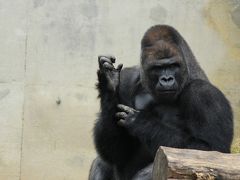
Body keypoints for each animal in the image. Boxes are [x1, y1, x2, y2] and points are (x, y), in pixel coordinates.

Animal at [88, 25, 232, 180]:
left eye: (173, 66)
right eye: (157, 68)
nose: (167, 79)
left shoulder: (205, 94)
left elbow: (211, 150)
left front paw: (142, 122)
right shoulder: (127, 79)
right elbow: (117, 153)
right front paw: (108, 83)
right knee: (102, 162)